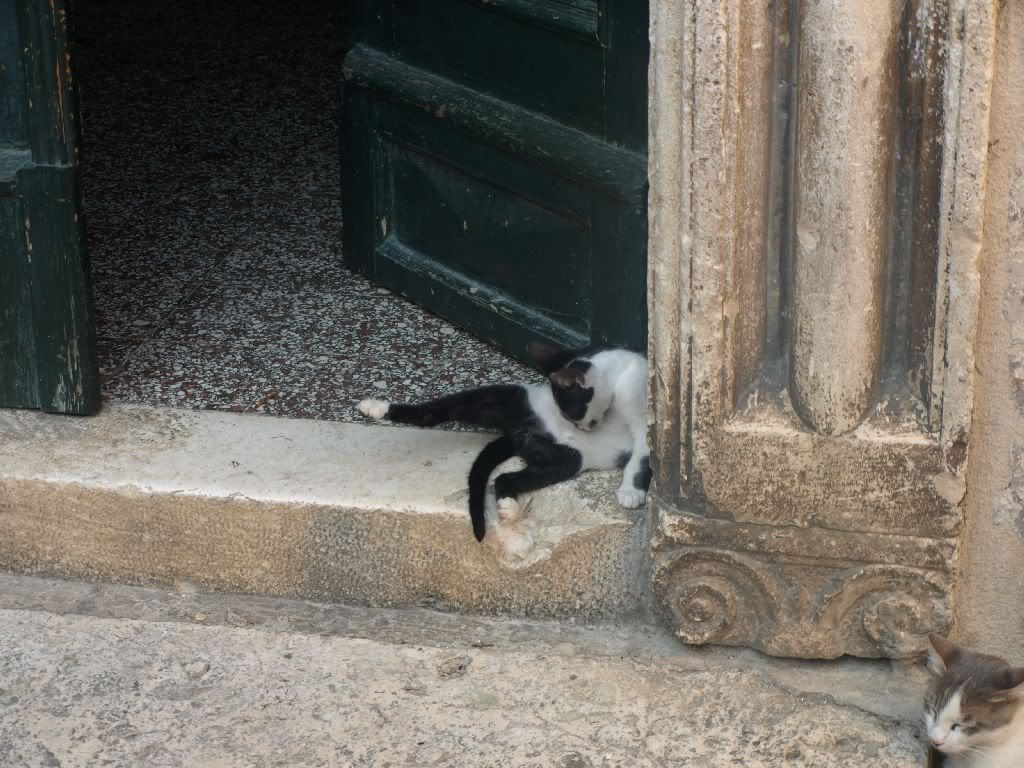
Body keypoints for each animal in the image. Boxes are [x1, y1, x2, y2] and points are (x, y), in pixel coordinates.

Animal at [357, 341, 650, 542]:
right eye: (572, 414)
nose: (582, 428)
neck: (619, 376)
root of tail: (523, 433)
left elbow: (640, 458)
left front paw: (630, 490)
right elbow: (641, 458)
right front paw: (632, 493)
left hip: (566, 458)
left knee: (506, 477)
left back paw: (508, 506)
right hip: (514, 399)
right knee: (436, 411)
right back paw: (378, 407)